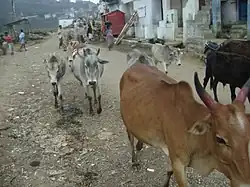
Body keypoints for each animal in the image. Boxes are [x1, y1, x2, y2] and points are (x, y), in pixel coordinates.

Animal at [119, 63, 250, 187]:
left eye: (248, 138)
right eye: (219, 139)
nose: (245, 183)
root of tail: (134, 66)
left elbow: (169, 171)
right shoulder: (178, 162)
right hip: (126, 120)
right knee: (130, 137)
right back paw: (134, 161)